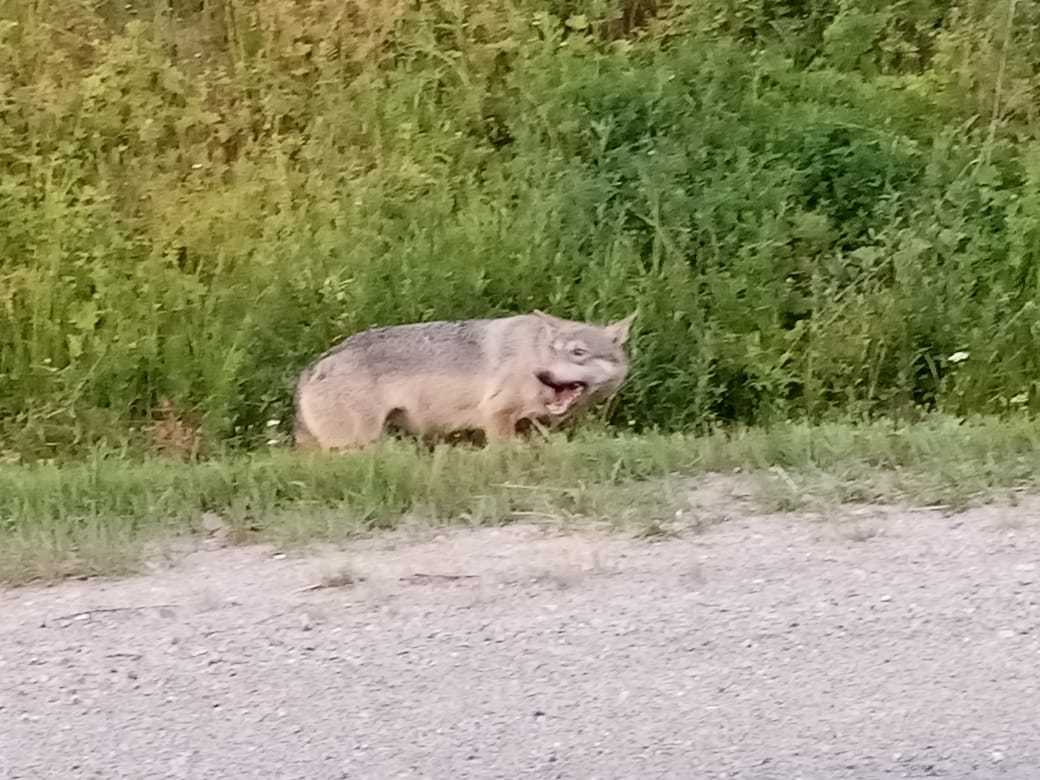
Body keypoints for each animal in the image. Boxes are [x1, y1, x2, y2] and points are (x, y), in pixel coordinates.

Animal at [289, 309, 636, 451]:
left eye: (578, 352)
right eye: (553, 352)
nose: (543, 374)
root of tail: (313, 367)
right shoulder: (495, 414)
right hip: (356, 444)